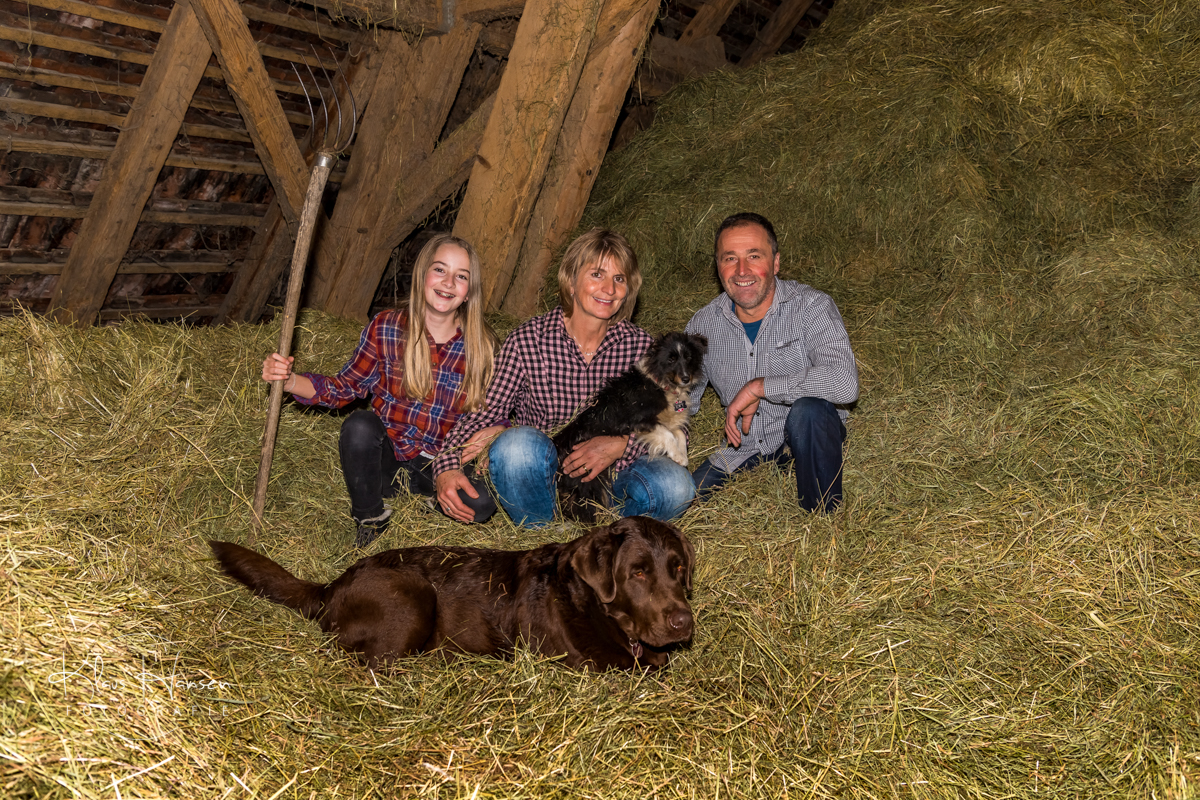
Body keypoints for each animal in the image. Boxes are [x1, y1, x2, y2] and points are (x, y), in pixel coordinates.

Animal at [553, 331, 708, 522]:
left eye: (689, 358)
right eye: (671, 359)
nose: (686, 378)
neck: (660, 383)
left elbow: (678, 432)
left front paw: (682, 455)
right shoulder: (638, 421)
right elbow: (667, 433)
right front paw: (677, 456)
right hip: (589, 480)